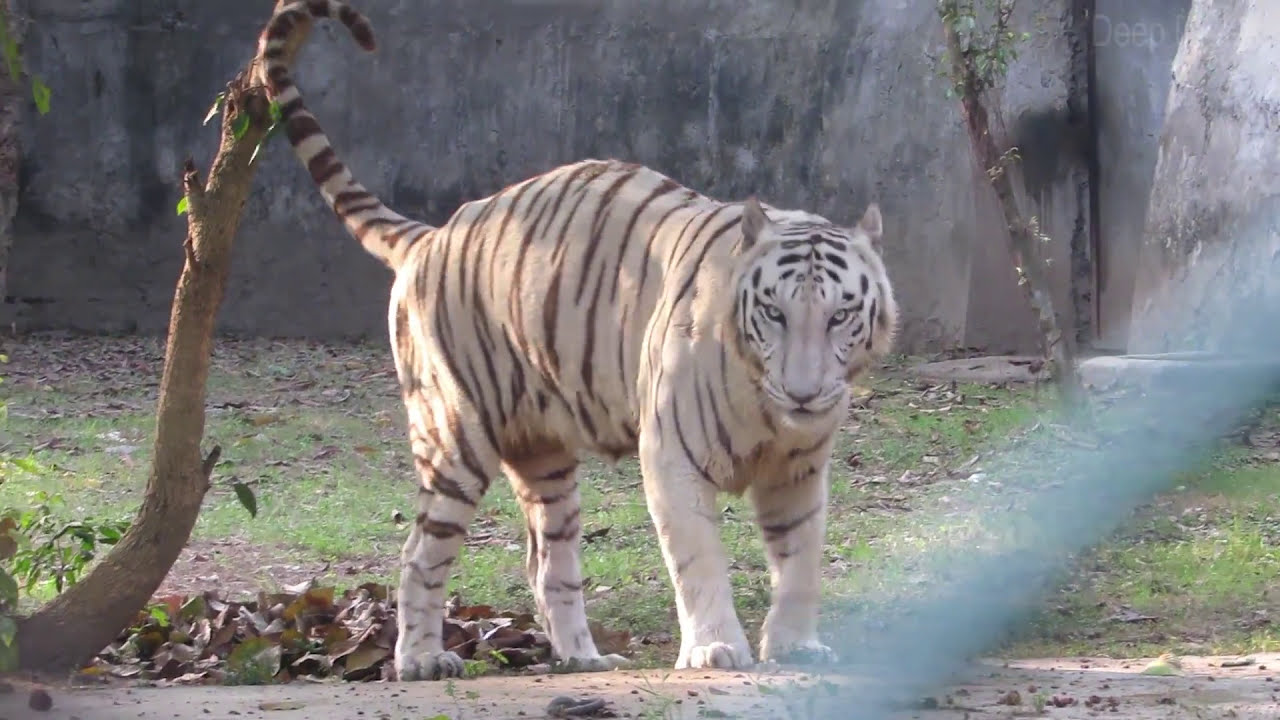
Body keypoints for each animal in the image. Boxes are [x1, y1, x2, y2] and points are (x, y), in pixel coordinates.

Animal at [254, 0, 898, 681]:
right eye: (774, 313)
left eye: (840, 315)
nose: (802, 394)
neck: (769, 413)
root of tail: (433, 235)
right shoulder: (670, 454)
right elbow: (697, 557)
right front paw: (715, 648)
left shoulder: (799, 470)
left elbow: (801, 562)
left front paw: (797, 644)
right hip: (453, 437)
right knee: (419, 553)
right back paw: (423, 659)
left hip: (546, 460)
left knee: (547, 564)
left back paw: (582, 657)